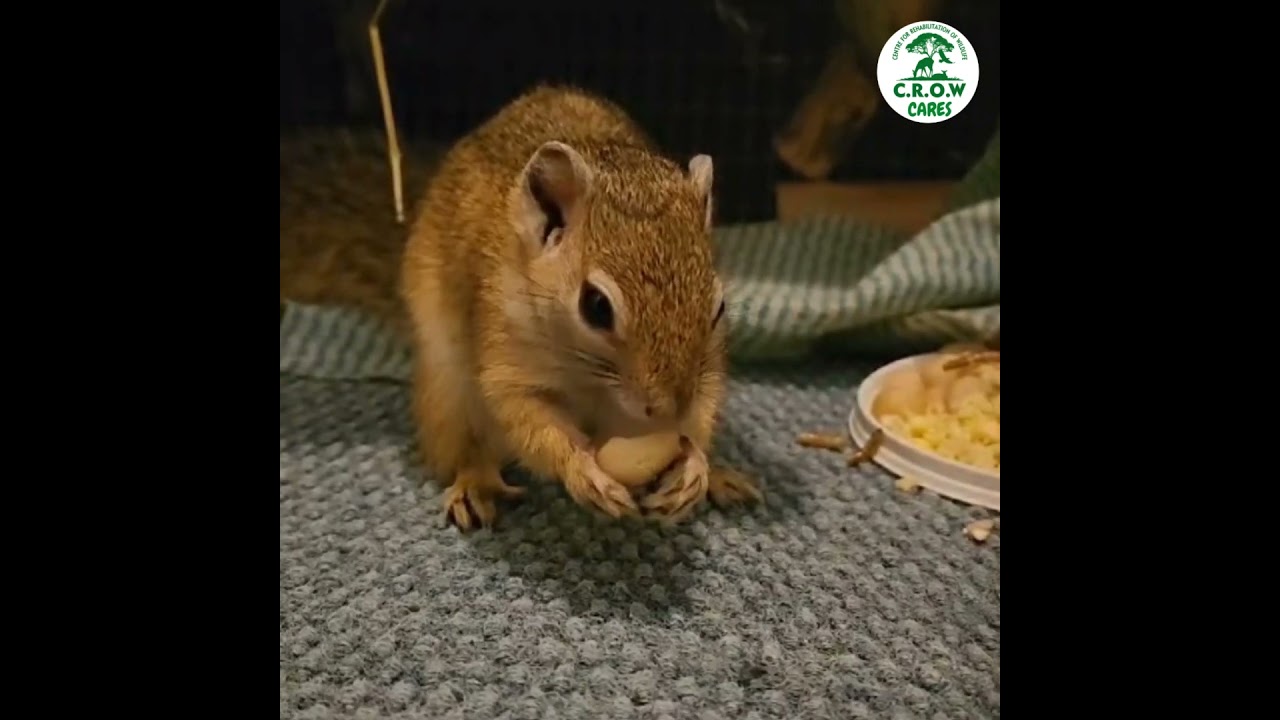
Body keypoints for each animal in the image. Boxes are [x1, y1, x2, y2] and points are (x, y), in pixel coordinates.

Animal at [397, 85, 762, 529]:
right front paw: (583, 472)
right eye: (596, 306)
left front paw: (693, 467)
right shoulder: (506, 358)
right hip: (447, 395)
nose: (666, 411)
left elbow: (697, 420)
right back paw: (474, 484)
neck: (591, 380)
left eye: (718, 307)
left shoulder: (702, 382)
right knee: (463, 449)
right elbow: (528, 420)